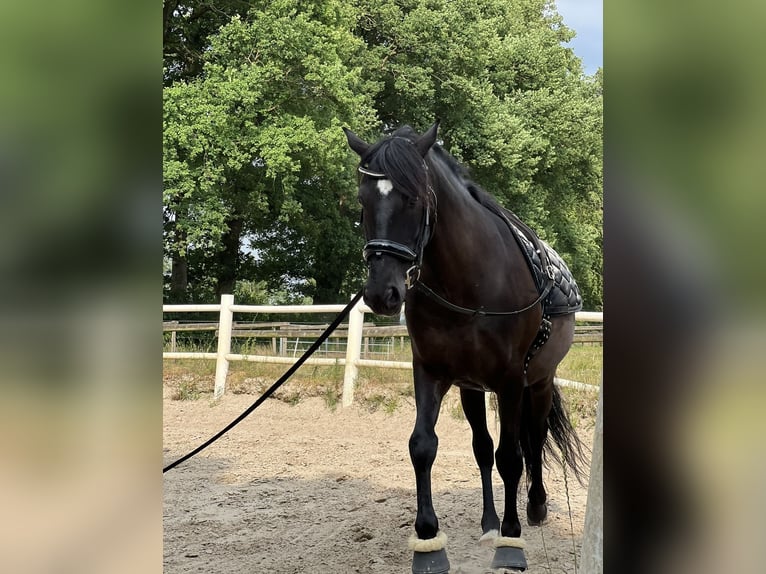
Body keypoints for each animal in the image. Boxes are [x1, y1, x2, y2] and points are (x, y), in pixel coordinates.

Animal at [344, 124, 592, 572]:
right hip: (472, 389)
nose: (381, 294)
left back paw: (535, 508)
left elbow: (512, 457)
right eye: (363, 200)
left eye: (414, 198)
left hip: (539, 383)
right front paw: (428, 540)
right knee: (483, 449)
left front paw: (511, 541)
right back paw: (490, 521)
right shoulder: (431, 372)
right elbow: (424, 445)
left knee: (533, 439)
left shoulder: (511, 380)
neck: (468, 282)